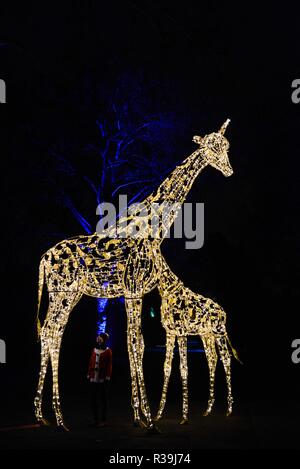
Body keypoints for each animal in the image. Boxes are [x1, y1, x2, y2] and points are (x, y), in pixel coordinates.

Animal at [155, 256, 241, 424]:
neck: (167, 290)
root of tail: (224, 313)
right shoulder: (169, 333)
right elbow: (166, 367)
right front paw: (158, 414)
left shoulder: (181, 332)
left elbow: (183, 368)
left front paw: (184, 417)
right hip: (206, 335)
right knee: (213, 359)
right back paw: (208, 410)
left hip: (219, 333)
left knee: (226, 360)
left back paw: (229, 410)